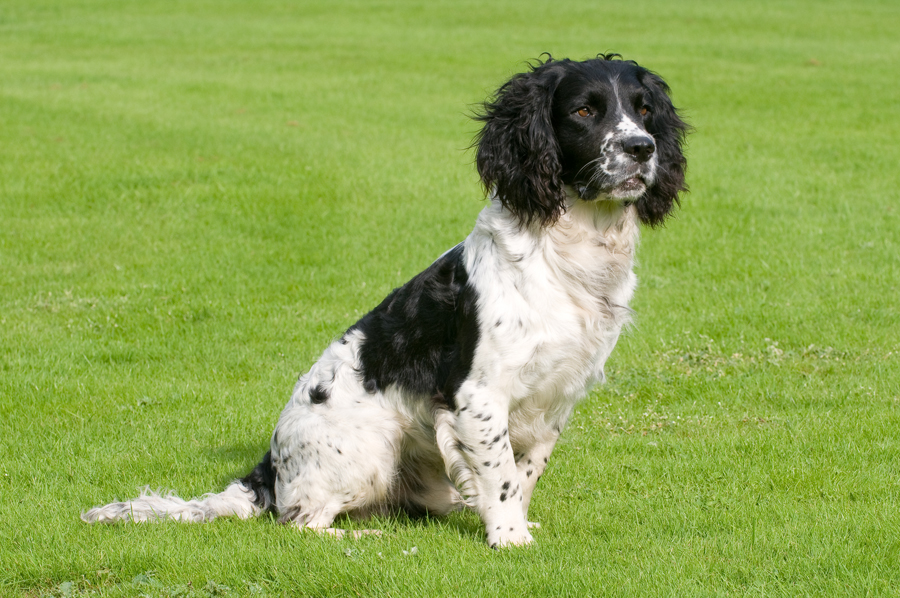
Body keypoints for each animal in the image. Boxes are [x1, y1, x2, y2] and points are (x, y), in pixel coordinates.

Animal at [82, 55, 688, 548]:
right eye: (585, 110)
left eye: (644, 110)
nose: (642, 148)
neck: (568, 252)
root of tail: (268, 471)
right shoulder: (478, 394)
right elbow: (500, 472)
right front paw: (510, 537)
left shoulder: (557, 398)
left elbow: (524, 472)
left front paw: (514, 520)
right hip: (370, 450)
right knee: (301, 522)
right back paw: (365, 536)